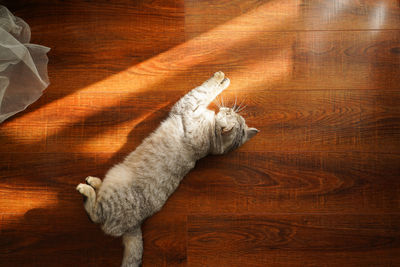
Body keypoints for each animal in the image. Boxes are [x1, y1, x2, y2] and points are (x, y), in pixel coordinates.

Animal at [76, 71, 260, 267]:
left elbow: (205, 90)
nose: (229, 108)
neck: (212, 140)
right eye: (232, 112)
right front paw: (224, 81)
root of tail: (134, 225)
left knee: (94, 214)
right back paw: (95, 181)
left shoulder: (187, 104)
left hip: (111, 197)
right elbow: (210, 91)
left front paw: (219, 77)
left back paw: (86, 189)